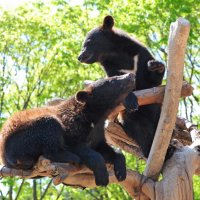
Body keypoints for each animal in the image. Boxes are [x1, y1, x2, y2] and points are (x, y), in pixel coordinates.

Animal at [0, 73, 135, 186]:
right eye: (112, 80)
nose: (130, 75)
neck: (93, 116)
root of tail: (4, 157)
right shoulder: (72, 126)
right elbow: (80, 147)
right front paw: (102, 176)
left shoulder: (98, 132)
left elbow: (104, 148)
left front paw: (121, 171)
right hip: (22, 138)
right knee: (50, 127)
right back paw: (70, 156)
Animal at [78, 15, 166, 159]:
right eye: (84, 44)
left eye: (88, 42)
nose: (79, 57)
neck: (114, 54)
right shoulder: (111, 67)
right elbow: (118, 84)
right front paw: (131, 101)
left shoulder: (140, 55)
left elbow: (152, 81)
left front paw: (155, 65)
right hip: (127, 117)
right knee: (140, 129)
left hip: (156, 110)